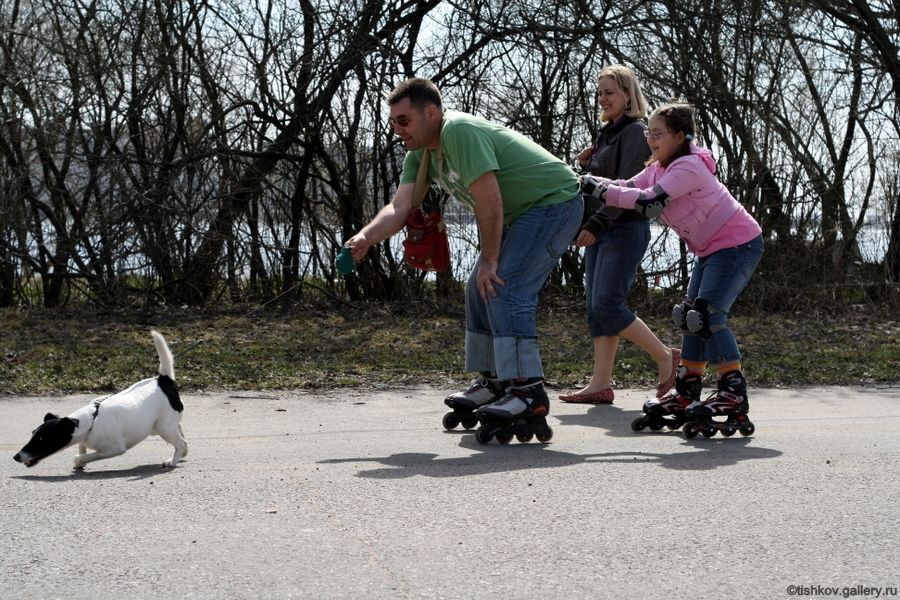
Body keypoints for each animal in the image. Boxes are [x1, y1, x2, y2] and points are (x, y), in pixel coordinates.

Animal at [13, 330, 187, 472]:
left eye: (42, 439)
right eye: (33, 435)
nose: (16, 457)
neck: (91, 421)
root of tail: (163, 380)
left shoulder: (114, 449)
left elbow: (83, 455)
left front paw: (79, 461)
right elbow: (82, 448)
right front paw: (80, 463)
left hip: (163, 428)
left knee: (181, 443)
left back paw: (173, 461)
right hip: (157, 426)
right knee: (181, 433)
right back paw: (182, 453)